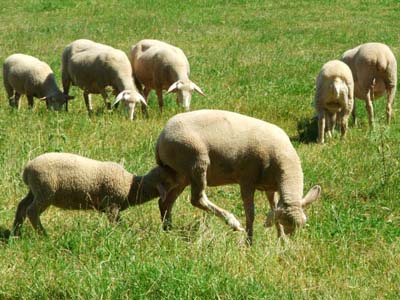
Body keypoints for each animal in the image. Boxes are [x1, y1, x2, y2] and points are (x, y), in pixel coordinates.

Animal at [12, 152, 175, 237]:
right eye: (166, 177)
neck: (131, 185)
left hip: (34, 190)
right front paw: (120, 234)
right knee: (31, 211)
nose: (170, 166)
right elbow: (116, 223)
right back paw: (43, 234)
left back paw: (16, 231)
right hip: (45, 191)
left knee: (22, 206)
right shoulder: (112, 205)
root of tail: (27, 169)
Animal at [154, 109, 322, 243]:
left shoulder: (270, 187)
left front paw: (282, 241)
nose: (292, 239)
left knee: (167, 200)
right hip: (197, 161)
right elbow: (251, 213)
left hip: (181, 173)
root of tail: (161, 136)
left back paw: (168, 228)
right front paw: (249, 241)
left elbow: (273, 207)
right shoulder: (247, 179)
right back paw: (232, 222)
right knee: (197, 198)